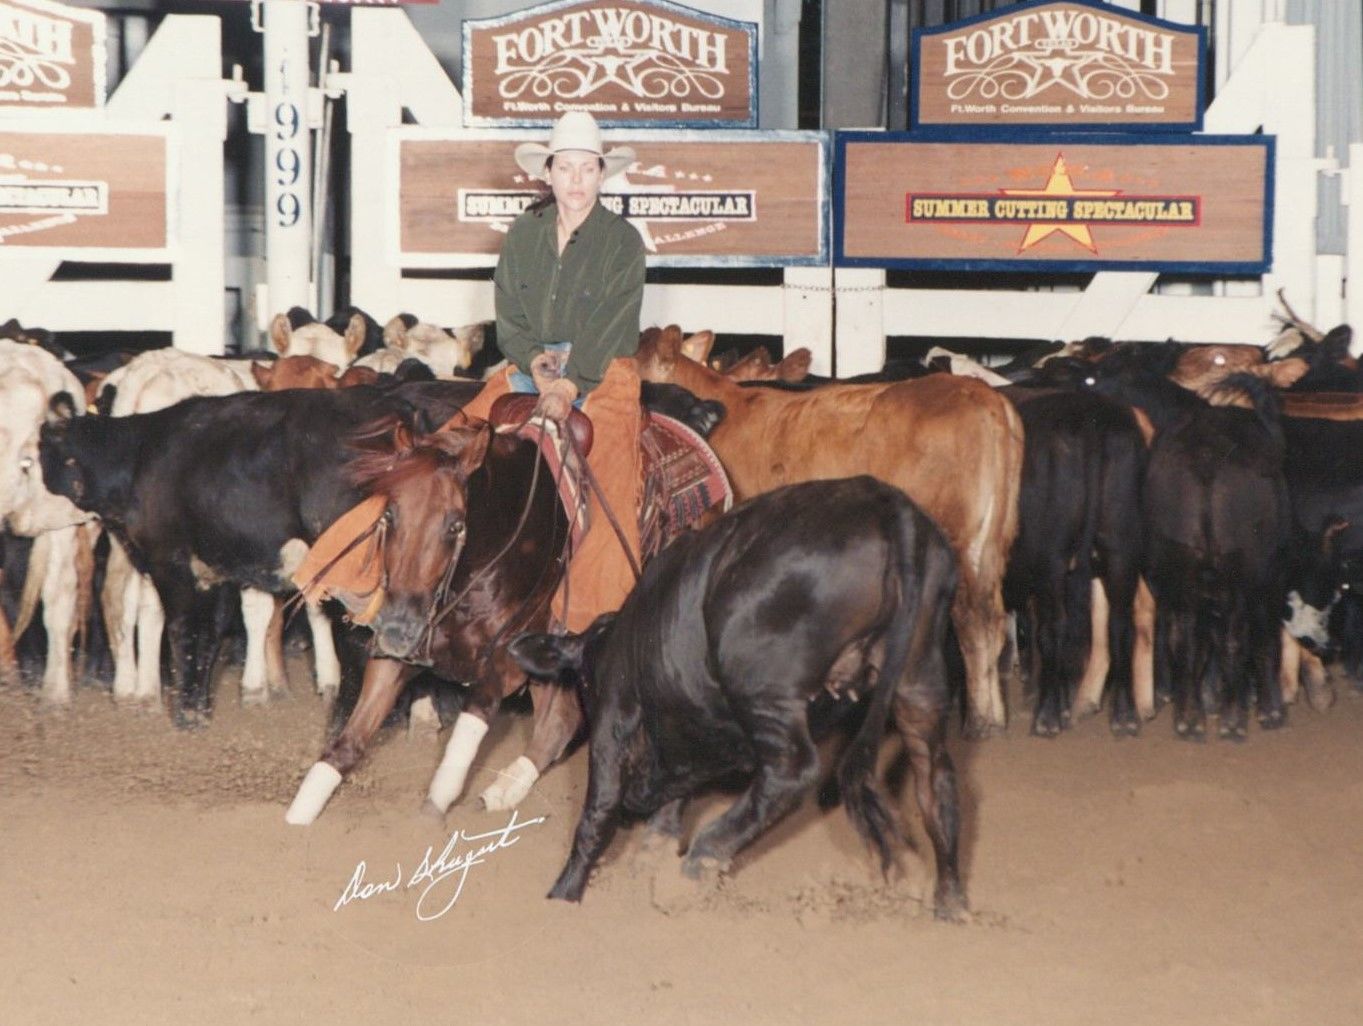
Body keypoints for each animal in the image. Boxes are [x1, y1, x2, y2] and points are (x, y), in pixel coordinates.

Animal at [510, 475, 966, 920]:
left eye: (586, 685)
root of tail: (889, 506)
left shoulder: (614, 717)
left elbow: (597, 813)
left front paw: (563, 893)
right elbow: (667, 816)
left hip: (761, 687)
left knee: (791, 773)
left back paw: (696, 866)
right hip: (919, 680)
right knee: (935, 777)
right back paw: (950, 904)